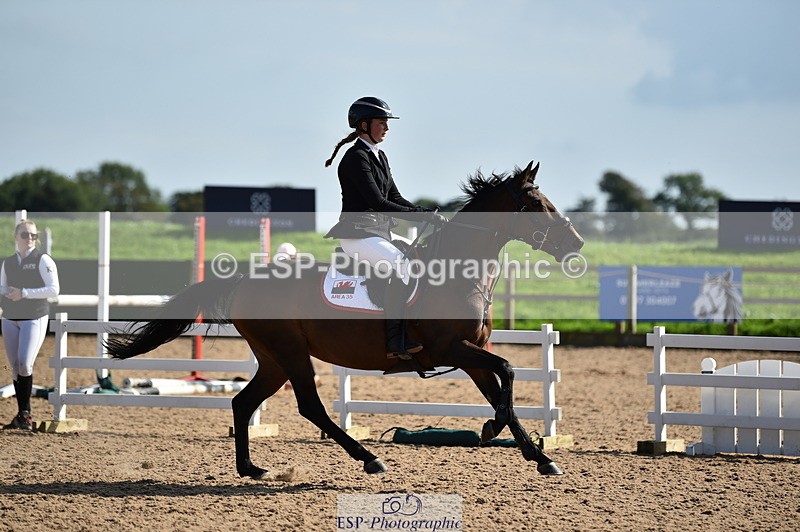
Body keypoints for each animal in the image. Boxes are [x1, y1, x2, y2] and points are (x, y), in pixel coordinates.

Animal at [105, 161, 585, 478]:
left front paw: (537, 456)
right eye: (535, 203)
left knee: (243, 403)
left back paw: (252, 469)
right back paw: (369, 458)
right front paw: (493, 432)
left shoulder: (472, 353)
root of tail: (243, 279)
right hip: (290, 352)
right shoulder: (454, 350)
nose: (576, 243)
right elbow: (508, 371)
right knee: (309, 406)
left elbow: (503, 389)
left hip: (273, 358)